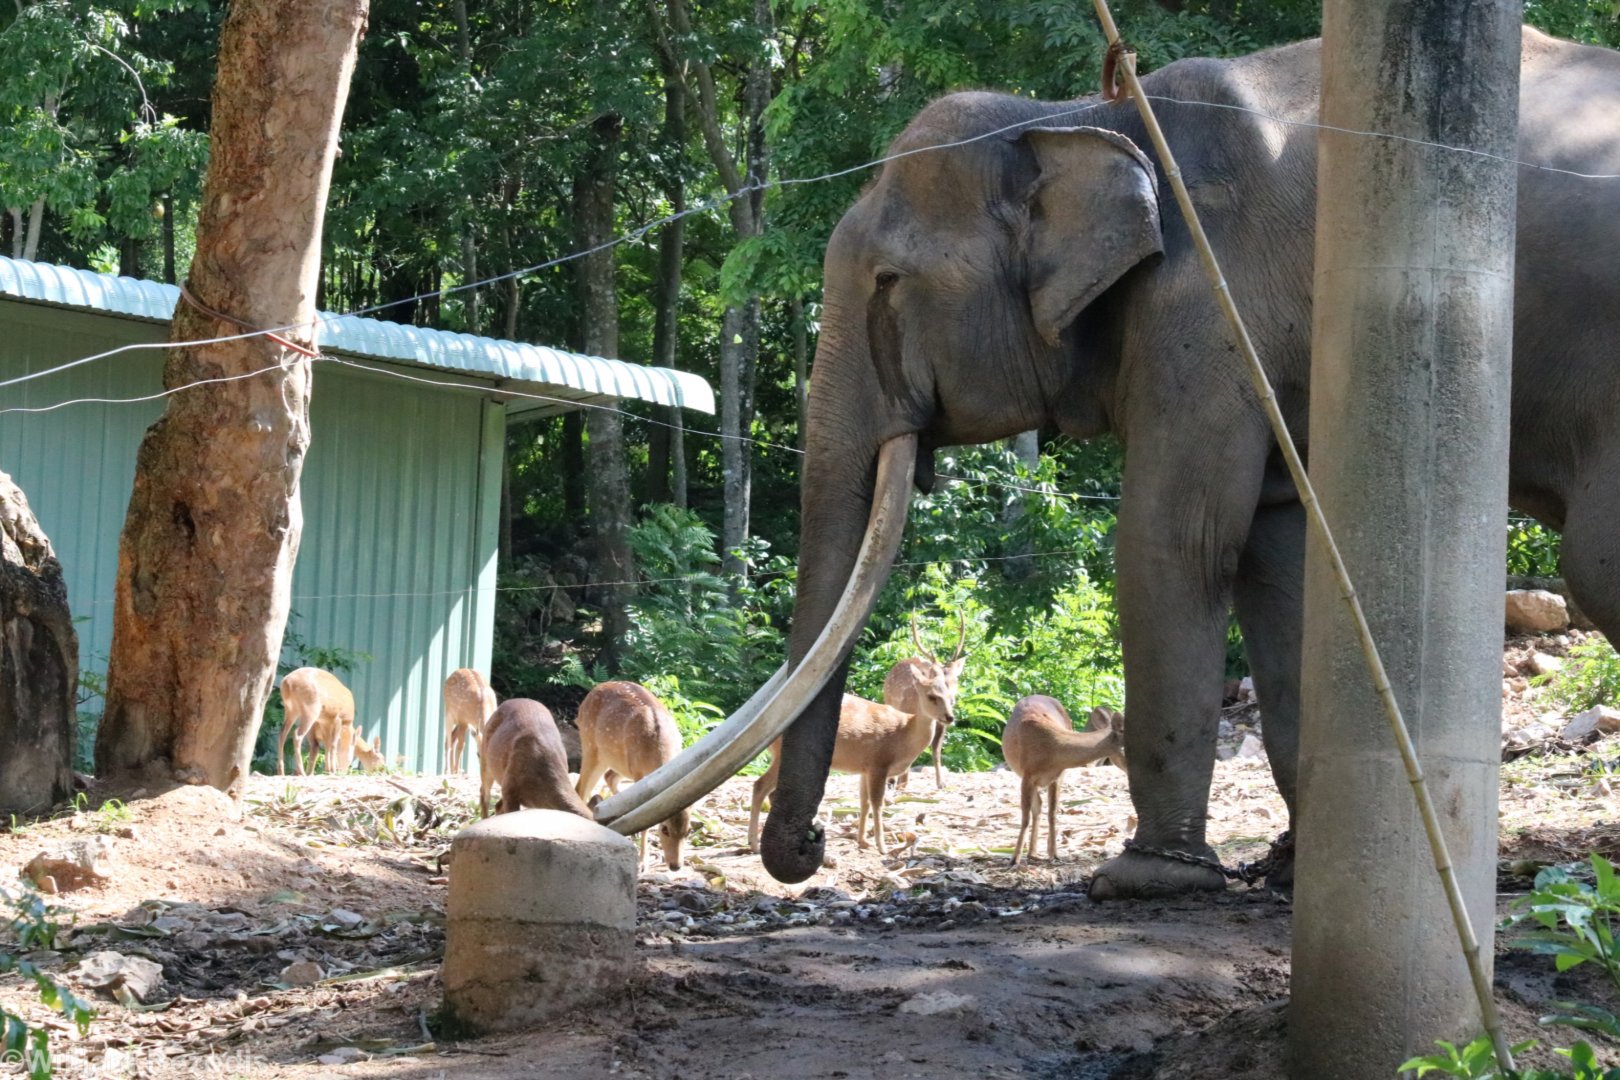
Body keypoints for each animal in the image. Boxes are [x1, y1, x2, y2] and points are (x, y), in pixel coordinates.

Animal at [574, 680, 690, 870]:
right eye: (664, 829)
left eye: (689, 831)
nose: (675, 865)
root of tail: (593, 689)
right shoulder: (638, 772)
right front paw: (642, 863)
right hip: (591, 745)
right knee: (581, 788)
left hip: (617, 760)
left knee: (609, 777)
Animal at [747, 680, 955, 855]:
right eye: (931, 696)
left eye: (952, 696)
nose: (950, 717)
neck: (904, 736)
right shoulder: (879, 762)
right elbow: (877, 803)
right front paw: (882, 847)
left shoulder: (865, 768)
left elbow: (863, 802)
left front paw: (862, 841)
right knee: (759, 785)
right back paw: (755, 844)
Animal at [886, 611, 968, 791]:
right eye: (936, 678)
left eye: (955, 680)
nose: (951, 701)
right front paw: (900, 783)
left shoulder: (941, 724)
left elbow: (936, 750)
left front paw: (941, 782)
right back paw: (894, 781)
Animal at [1001, 696, 1126, 866]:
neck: (1053, 750)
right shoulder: (1027, 776)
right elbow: (1025, 818)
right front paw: (1014, 859)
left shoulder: (1058, 776)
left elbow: (1053, 814)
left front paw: (1054, 855)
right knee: (1036, 807)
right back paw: (1030, 853)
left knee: (1039, 805)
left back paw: (1033, 853)